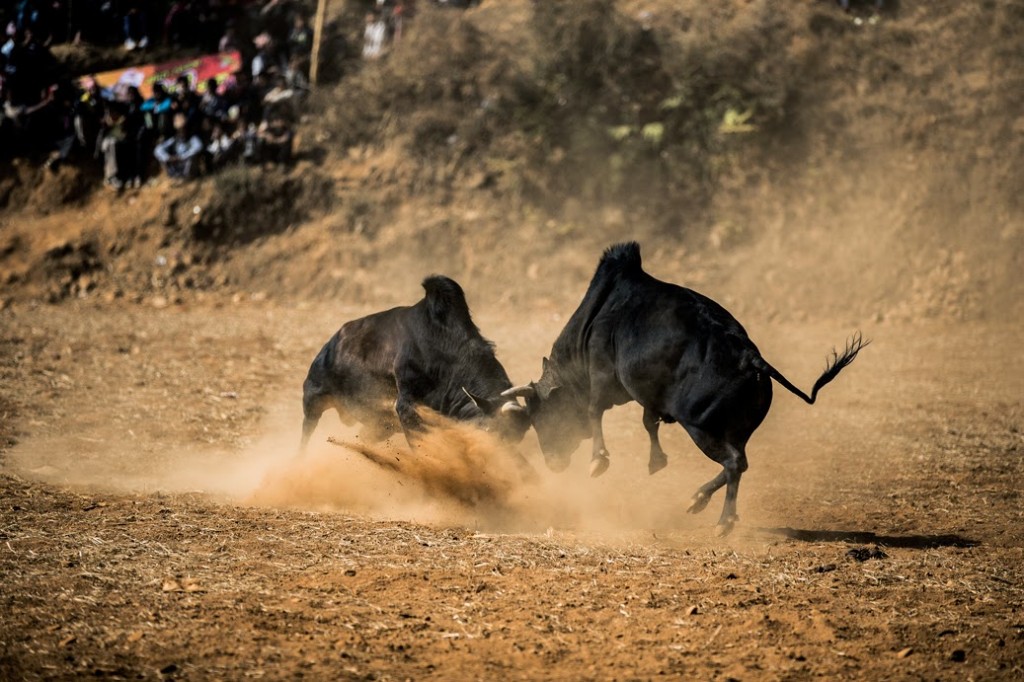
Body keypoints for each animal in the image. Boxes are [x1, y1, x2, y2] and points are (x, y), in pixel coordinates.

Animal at [503, 241, 864, 532]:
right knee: (739, 463)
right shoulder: (649, 398)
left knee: (734, 463)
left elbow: (595, 411)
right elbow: (648, 422)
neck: (595, 319)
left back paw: (724, 521)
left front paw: (598, 460)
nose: (552, 463)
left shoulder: (603, 376)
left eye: (542, 418)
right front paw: (656, 461)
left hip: (701, 428)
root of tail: (750, 358)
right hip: (733, 431)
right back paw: (698, 499)